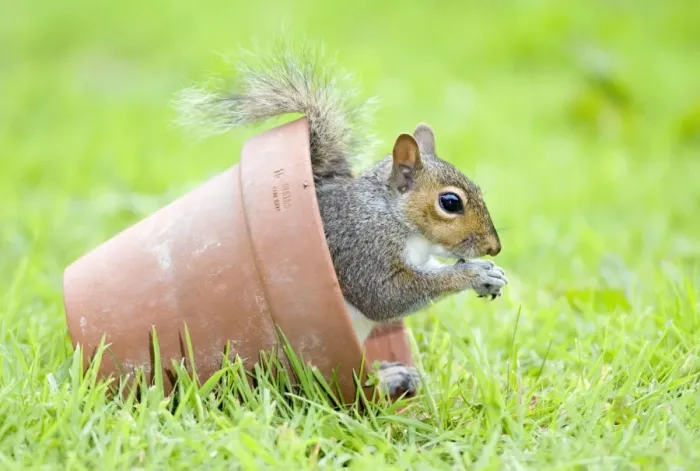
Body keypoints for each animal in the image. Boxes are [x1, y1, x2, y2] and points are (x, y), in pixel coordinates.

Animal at [175, 46, 507, 398]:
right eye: (450, 203)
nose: (494, 247)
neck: (392, 216)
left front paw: (493, 275)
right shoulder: (363, 248)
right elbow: (388, 296)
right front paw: (474, 274)